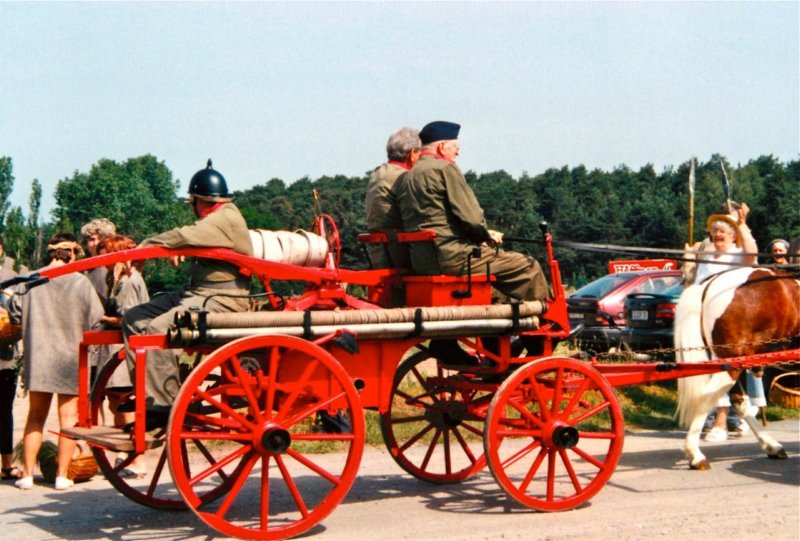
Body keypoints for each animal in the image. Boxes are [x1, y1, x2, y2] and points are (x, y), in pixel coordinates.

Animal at [676, 266, 800, 468]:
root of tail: (709, 285)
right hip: (731, 363)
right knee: (708, 397)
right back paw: (695, 454)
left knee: (739, 401)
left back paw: (772, 446)